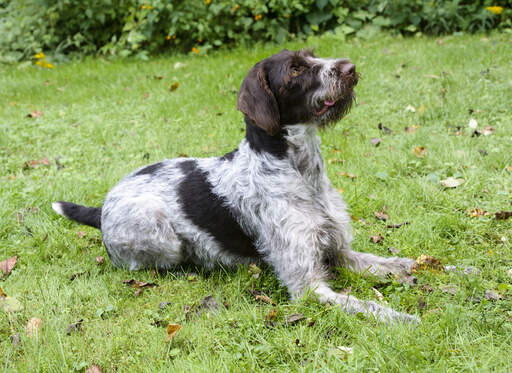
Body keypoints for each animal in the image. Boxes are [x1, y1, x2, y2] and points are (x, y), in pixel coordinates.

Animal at [53, 49, 420, 322]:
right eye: (295, 69)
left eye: (313, 55)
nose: (349, 67)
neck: (300, 172)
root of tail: (101, 208)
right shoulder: (308, 287)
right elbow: (365, 305)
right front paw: (405, 319)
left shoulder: (337, 252)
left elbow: (390, 263)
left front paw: (424, 268)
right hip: (162, 238)